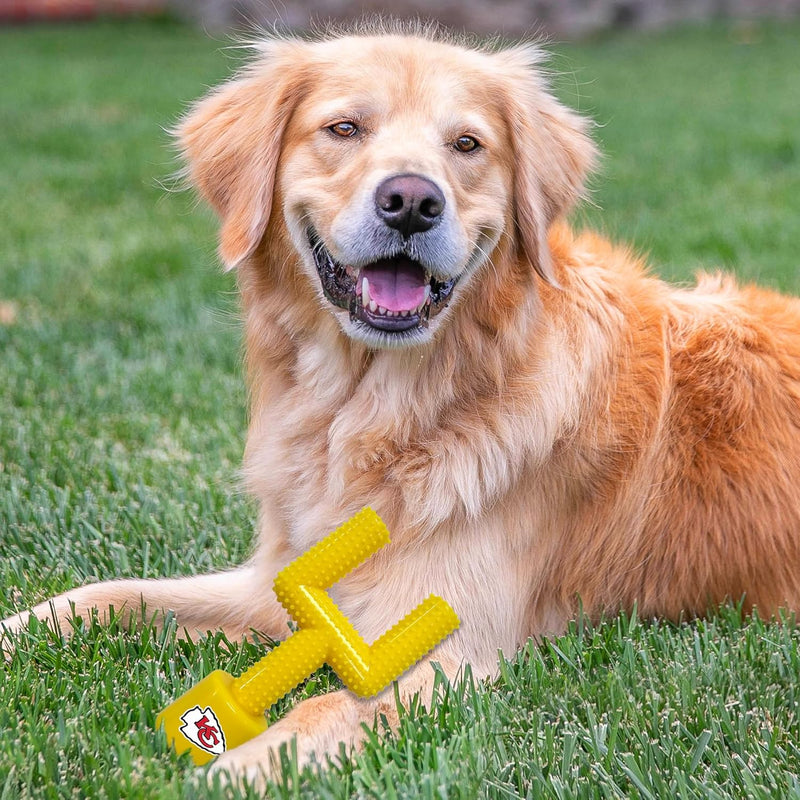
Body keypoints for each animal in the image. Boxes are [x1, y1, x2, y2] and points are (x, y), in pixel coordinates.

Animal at [4, 21, 800, 784]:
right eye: (344, 129)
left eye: (467, 144)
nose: (412, 201)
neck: (370, 412)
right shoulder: (286, 585)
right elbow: (106, 595)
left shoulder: (444, 651)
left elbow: (321, 711)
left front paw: (230, 771)